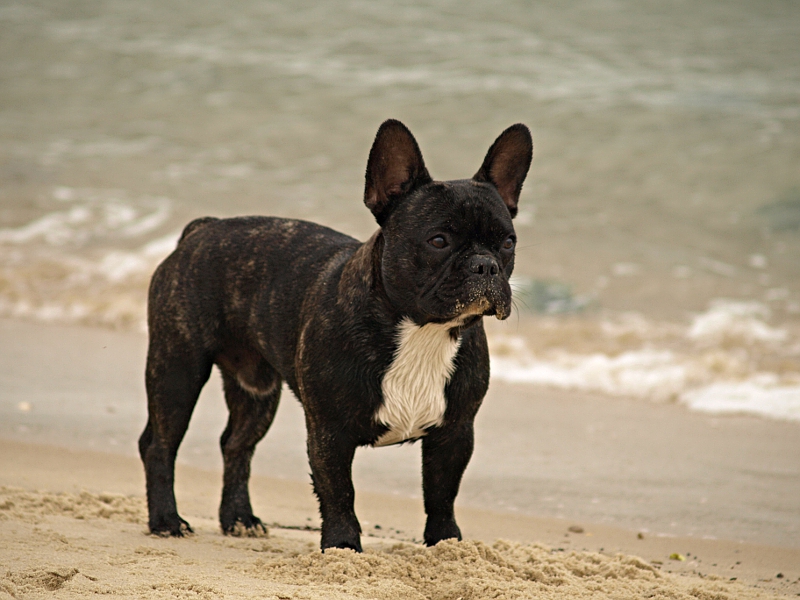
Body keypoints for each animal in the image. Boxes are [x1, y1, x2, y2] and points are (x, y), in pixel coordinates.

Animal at [141, 119, 536, 552]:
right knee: (160, 444)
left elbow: (442, 493)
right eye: (438, 241)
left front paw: (447, 545)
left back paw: (239, 518)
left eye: (508, 243)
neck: (421, 332)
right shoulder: (330, 431)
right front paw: (343, 547)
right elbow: (338, 491)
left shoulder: (455, 432)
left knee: (236, 443)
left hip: (257, 390)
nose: (485, 265)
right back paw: (166, 520)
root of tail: (202, 228)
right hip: (177, 368)